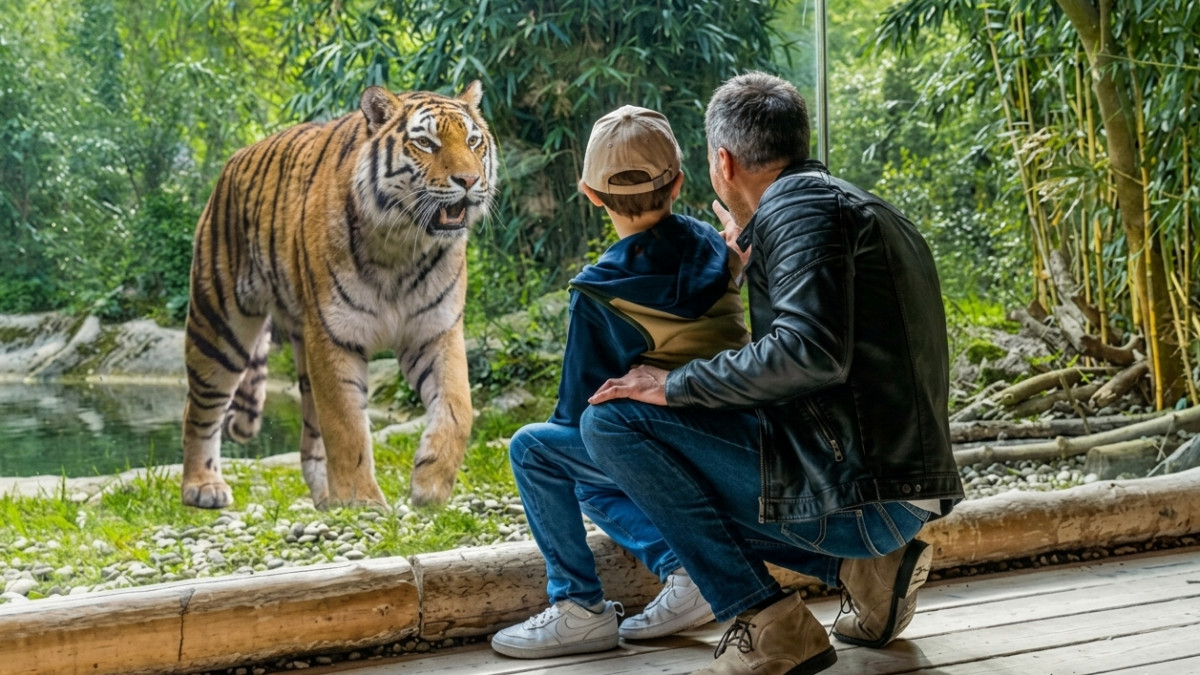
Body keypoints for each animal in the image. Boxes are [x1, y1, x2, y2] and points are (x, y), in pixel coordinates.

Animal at [181, 82, 497, 510]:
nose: (469, 180)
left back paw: (327, 498)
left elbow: (458, 407)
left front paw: (429, 484)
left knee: (309, 435)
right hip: (220, 326)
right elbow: (345, 423)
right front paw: (363, 501)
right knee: (198, 408)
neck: (402, 247)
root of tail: (233, 161)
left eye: (473, 141)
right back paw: (202, 486)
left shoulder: (435, 331)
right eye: (426, 143)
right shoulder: (334, 336)